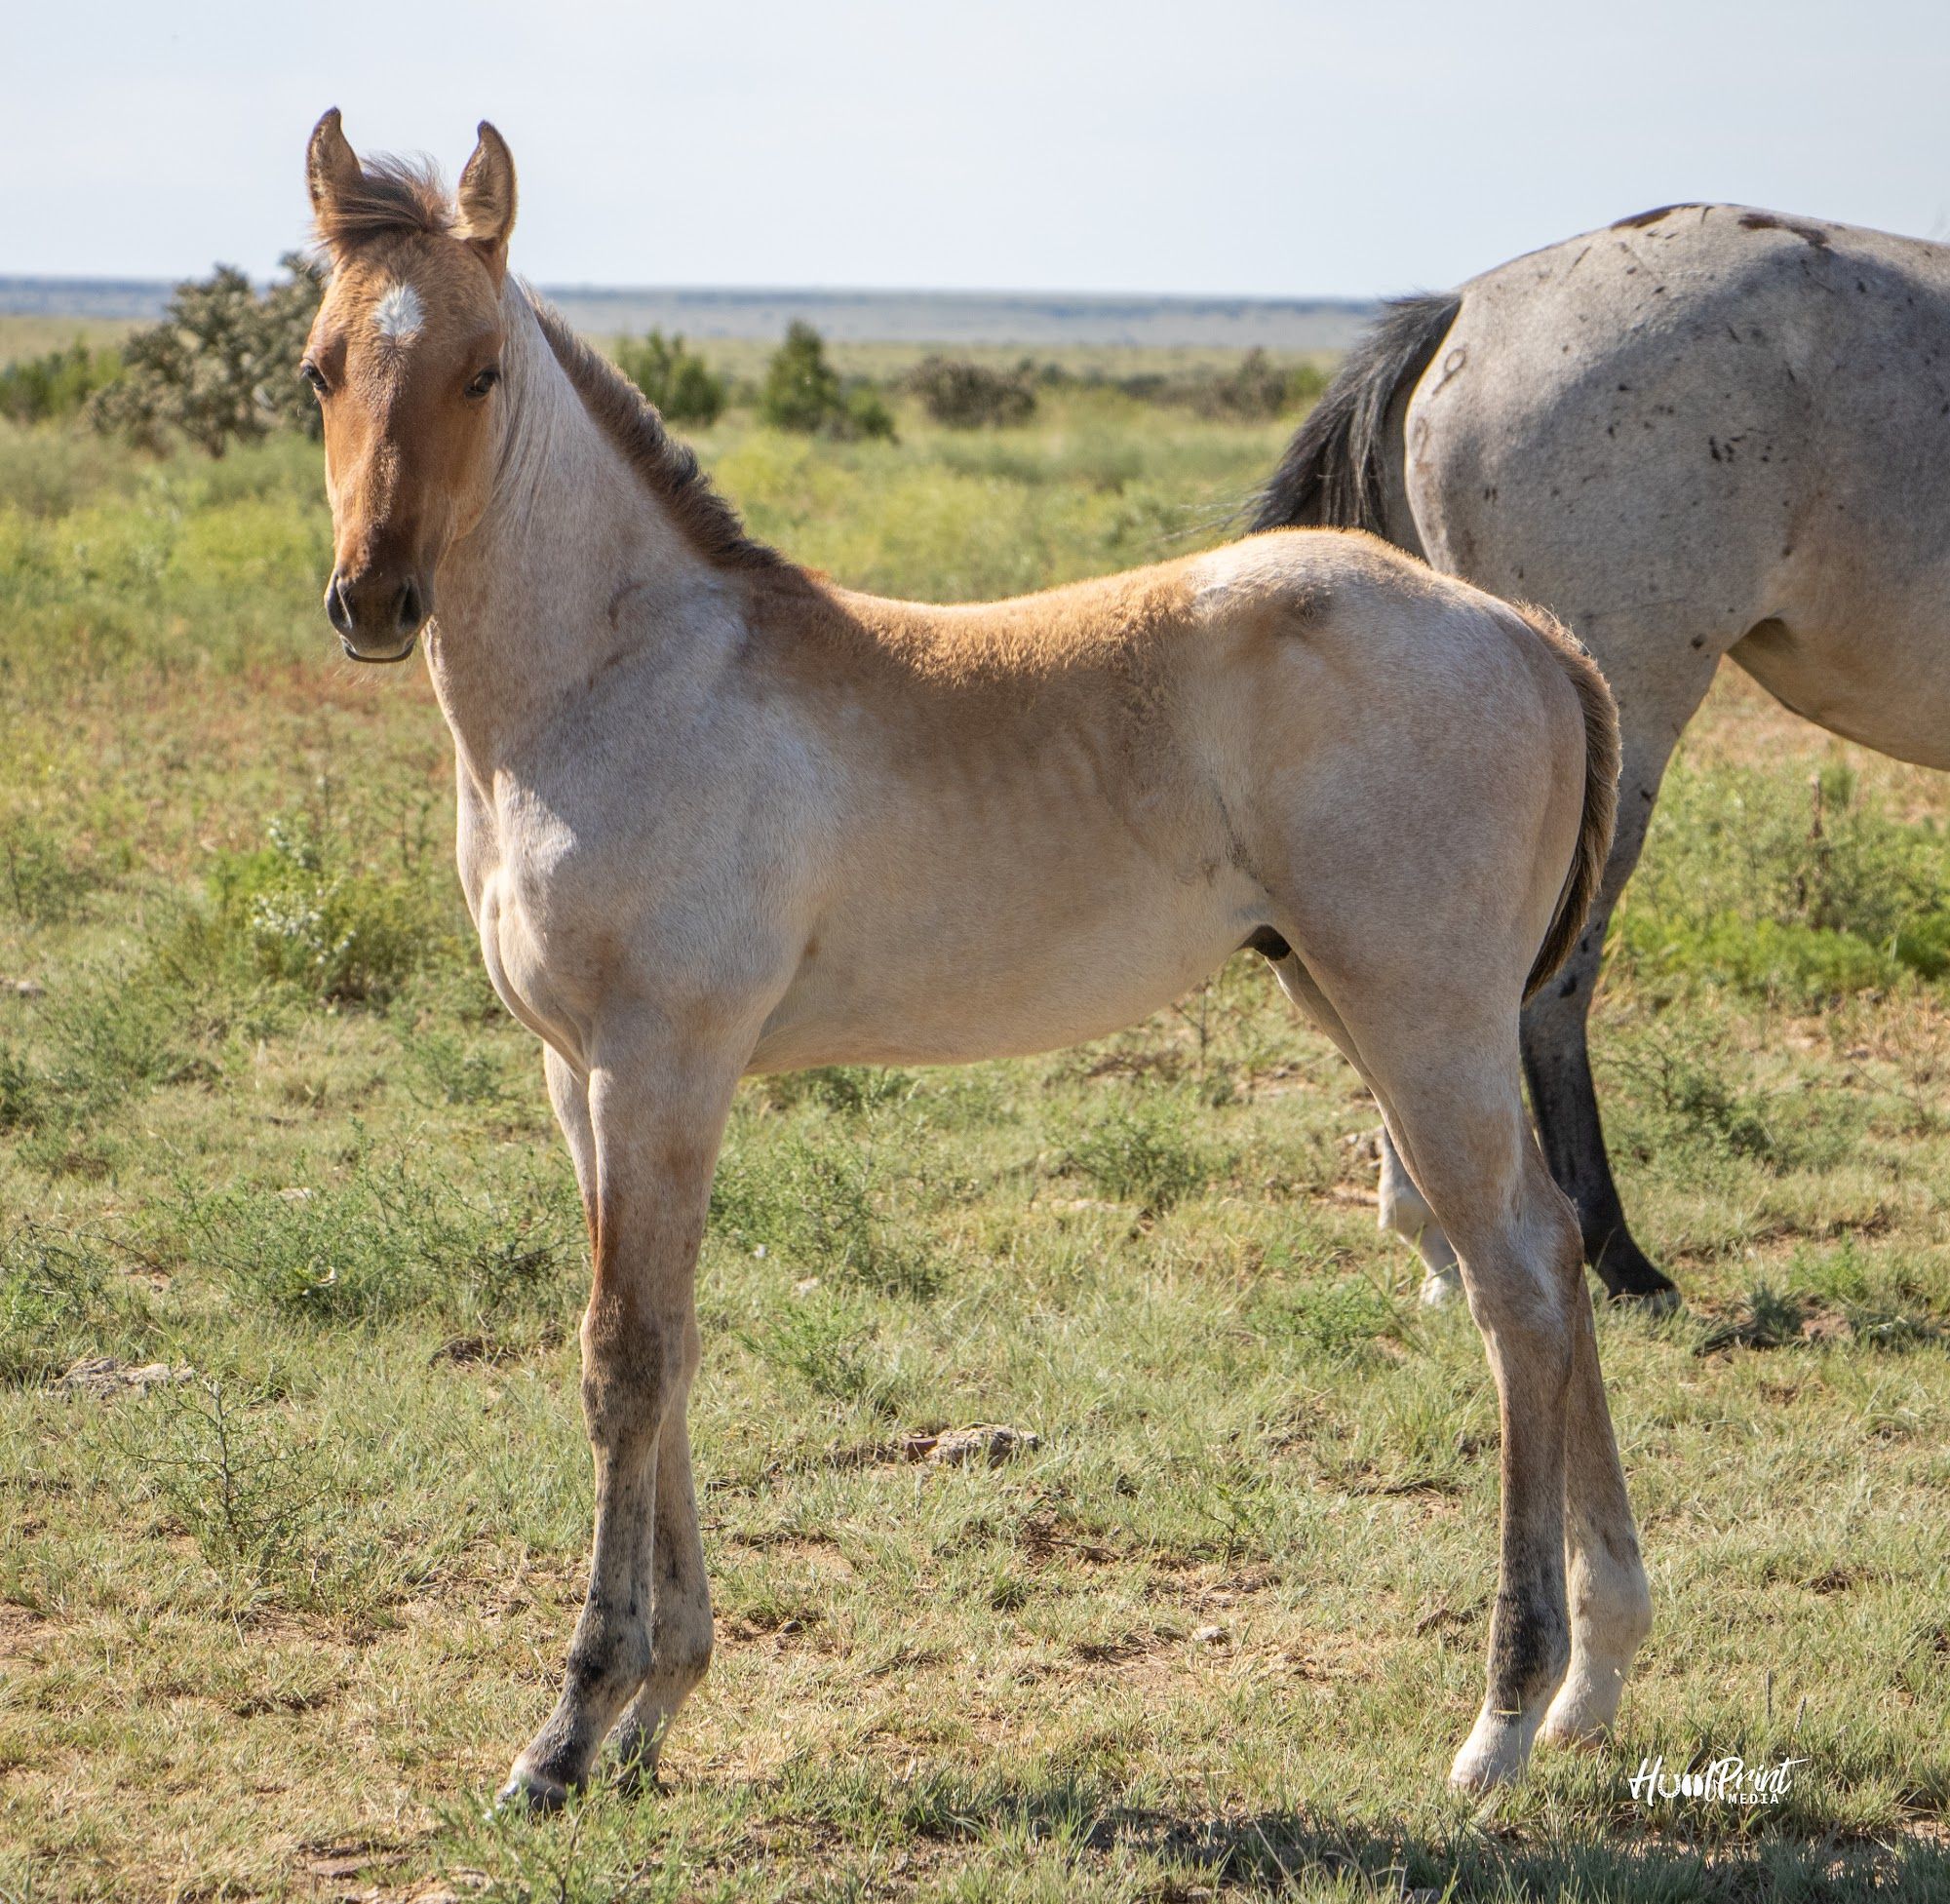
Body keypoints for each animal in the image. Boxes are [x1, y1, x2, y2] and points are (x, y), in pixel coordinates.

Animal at [298, 109, 1644, 1805]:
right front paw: (658, 1702)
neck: (616, 674)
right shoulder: (578, 1079)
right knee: (1553, 1249)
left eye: (481, 370)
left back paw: (1505, 1714)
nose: (373, 599)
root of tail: (1529, 633)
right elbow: (671, 1352)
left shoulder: (661, 1064)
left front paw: (568, 1729)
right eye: (318, 369)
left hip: (1424, 1023)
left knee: (1518, 1284)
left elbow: (625, 1357)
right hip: (1366, 1007)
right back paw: (1599, 1675)